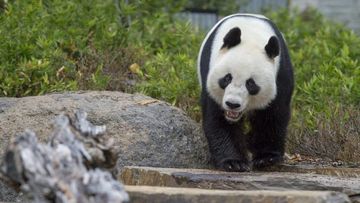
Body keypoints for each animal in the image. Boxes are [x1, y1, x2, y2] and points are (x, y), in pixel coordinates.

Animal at [198, 13, 294, 171]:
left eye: (251, 84)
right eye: (227, 78)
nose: (232, 104)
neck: (250, 36)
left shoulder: (281, 74)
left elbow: (272, 115)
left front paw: (266, 158)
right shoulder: (210, 74)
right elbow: (218, 118)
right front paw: (233, 162)